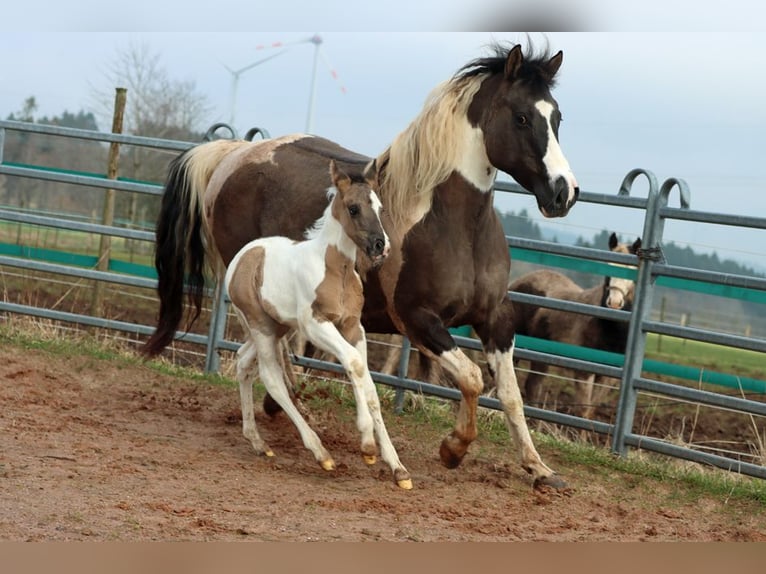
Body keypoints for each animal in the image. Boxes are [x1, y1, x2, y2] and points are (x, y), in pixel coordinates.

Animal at [224, 161, 412, 490]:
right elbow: (353, 364)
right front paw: (367, 445)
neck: (337, 270)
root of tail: (240, 259)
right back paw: (320, 453)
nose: (381, 246)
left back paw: (258, 442)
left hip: (278, 326)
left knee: (243, 362)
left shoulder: (353, 327)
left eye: (379, 206)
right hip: (262, 327)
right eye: (353, 208)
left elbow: (367, 382)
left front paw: (396, 467)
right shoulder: (316, 325)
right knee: (272, 378)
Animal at [512, 234, 644, 424]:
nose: (614, 303)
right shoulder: (584, 372)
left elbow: (591, 409)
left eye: (632, 271)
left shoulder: (607, 377)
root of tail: (518, 282)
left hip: (541, 358)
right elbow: (583, 410)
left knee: (533, 385)